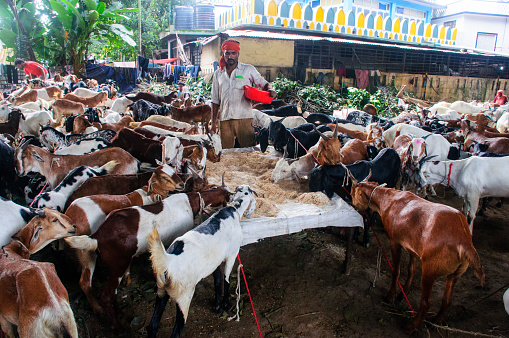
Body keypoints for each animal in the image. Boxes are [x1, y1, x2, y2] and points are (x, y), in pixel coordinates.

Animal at [147, 185, 258, 338]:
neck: (233, 210)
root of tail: (169, 260)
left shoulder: (215, 261)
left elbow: (218, 281)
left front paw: (218, 307)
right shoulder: (232, 254)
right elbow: (226, 279)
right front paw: (227, 304)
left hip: (161, 290)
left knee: (152, 326)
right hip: (184, 296)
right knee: (176, 331)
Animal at [350, 177, 484, 332]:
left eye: (353, 193)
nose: (354, 206)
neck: (388, 200)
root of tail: (464, 241)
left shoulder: (394, 241)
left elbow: (396, 271)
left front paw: (391, 296)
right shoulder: (412, 249)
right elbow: (411, 270)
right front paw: (402, 294)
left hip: (430, 270)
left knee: (426, 302)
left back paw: (411, 325)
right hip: (456, 272)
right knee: (447, 300)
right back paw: (437, 321)